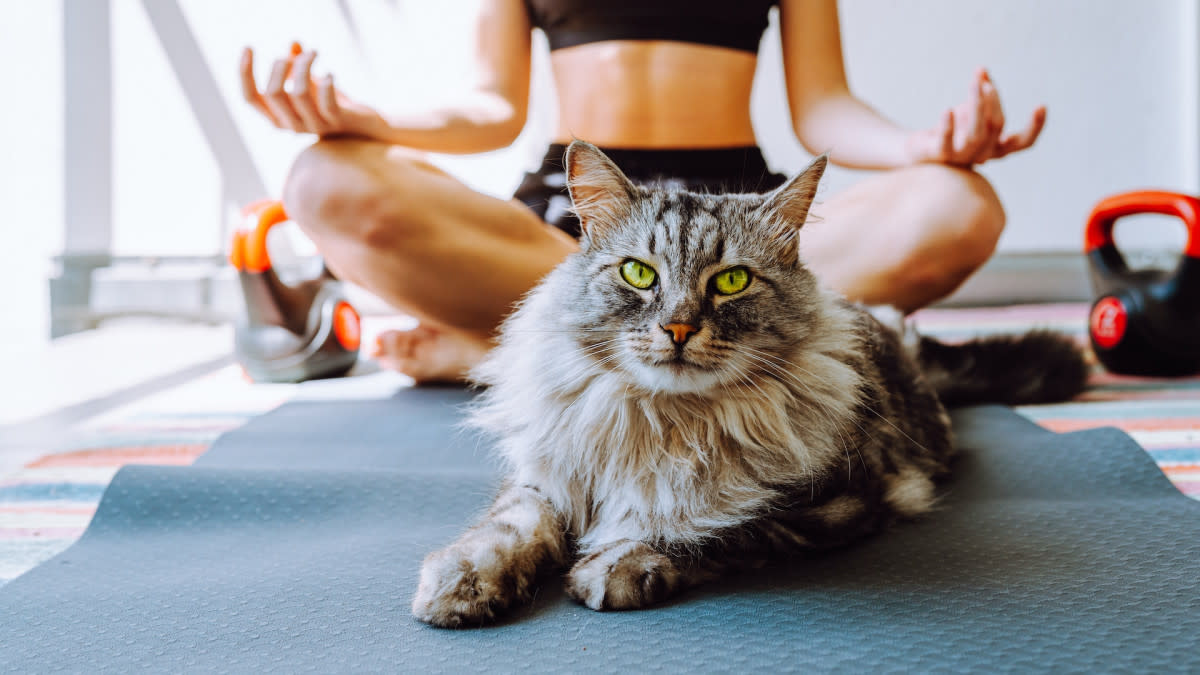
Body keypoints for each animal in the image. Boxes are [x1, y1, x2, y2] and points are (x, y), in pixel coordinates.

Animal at [410, 139, 1089, 624]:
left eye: (731, 282)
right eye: (638, 274)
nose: (678, 327)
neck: (665, 425)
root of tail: (904, 338)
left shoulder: (837, 505)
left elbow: (709, 528)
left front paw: (615, 564)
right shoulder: (548, 476)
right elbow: (510, 527)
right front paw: (460, 581)